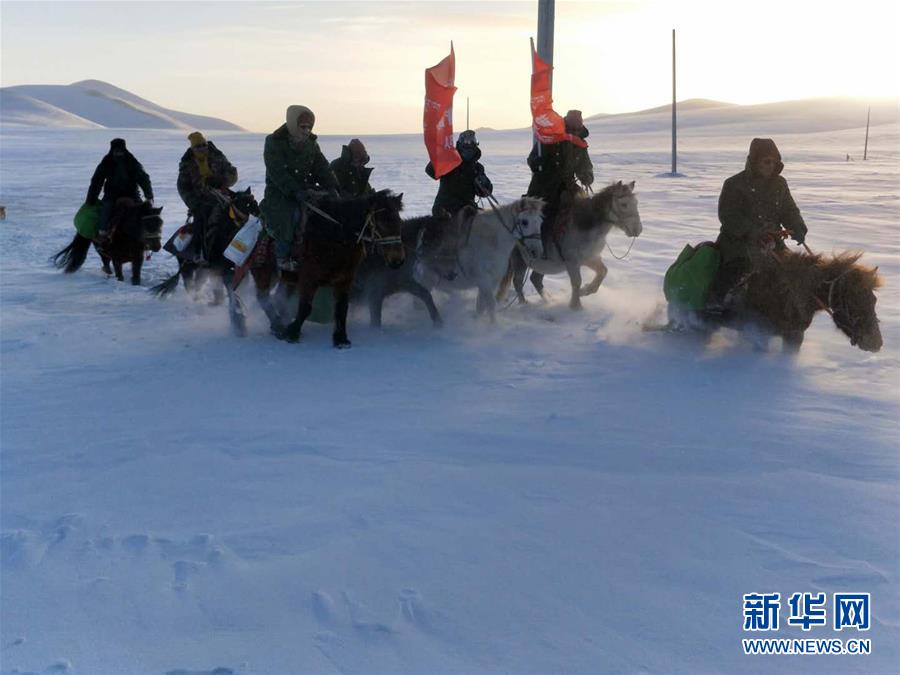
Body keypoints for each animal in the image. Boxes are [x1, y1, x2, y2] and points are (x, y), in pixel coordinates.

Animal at [151, 189, 260, 336]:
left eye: (255, 202)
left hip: (203, 269)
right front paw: (239, 322)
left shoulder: (236, 270)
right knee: (190, 284)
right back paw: (198, 299)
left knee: (199, 282)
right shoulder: (225, 270)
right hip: (190, 268)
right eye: (245, 204)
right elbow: (232, 292)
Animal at [253, 190, 408, 348]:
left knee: (279, 297)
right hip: (264, 274)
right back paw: (278, 326)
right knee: (263, 297)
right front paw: (292, 334)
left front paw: (341, 339)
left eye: (399, 222)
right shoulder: (309, 279)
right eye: (381, 224)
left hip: (288, 279)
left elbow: (341, 308)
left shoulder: (345, 280)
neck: (335, 237)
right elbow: (305, 307)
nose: (397, 260)